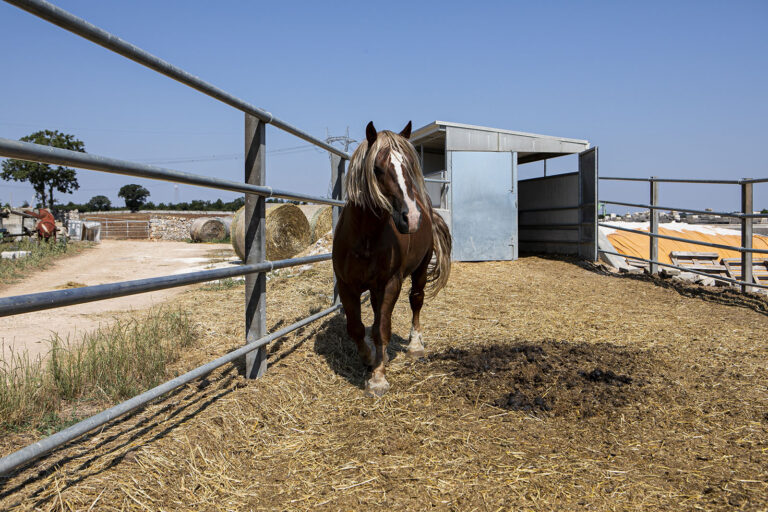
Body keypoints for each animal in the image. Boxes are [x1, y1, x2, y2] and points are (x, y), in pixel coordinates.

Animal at [332, 120, 450, 396]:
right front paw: (368, 357)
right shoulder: (346, 285)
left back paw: (415, 345)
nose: (412, 218)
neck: (365, 238)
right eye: (377, 169)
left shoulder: (391, 283)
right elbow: (357, 328)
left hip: (419, 271)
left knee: (416, 301)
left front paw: (377, 378)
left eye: (409, 165)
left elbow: (382, 329)